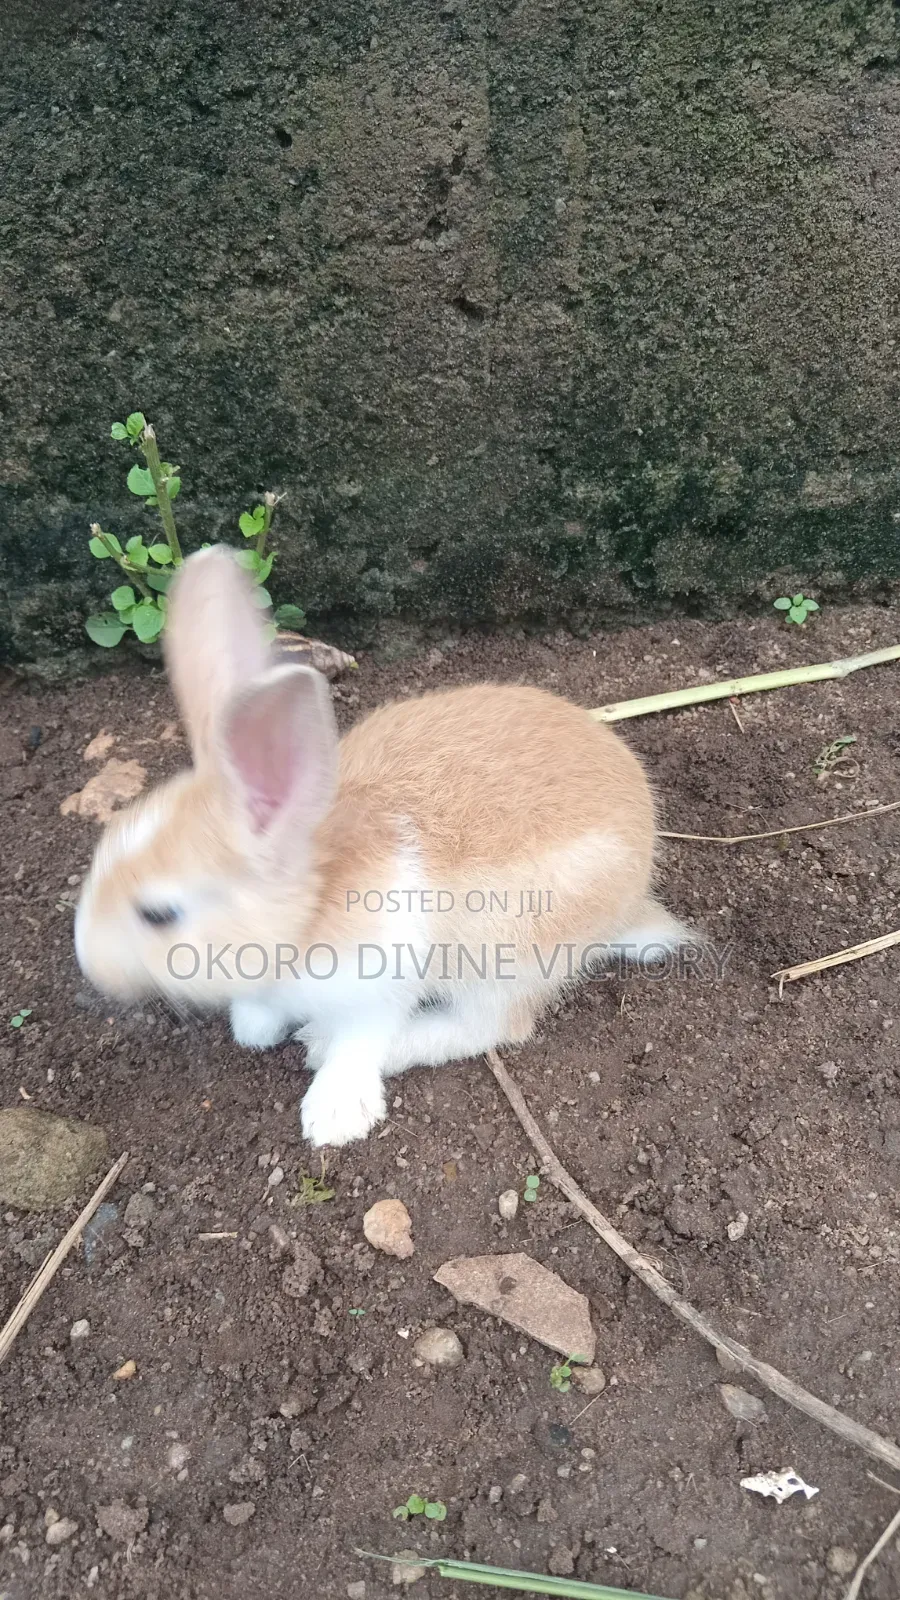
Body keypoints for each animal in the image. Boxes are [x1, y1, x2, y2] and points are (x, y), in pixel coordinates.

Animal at [75, 545, 688, 1147]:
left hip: (507, 958)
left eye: (158, 914)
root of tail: (631, 901)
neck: (309, 910)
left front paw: (334, 1114)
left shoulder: (382, 977)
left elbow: (362, 1040)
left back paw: (326, 1045)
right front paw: (255, 1029)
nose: (90, 966)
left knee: (490, 1027)